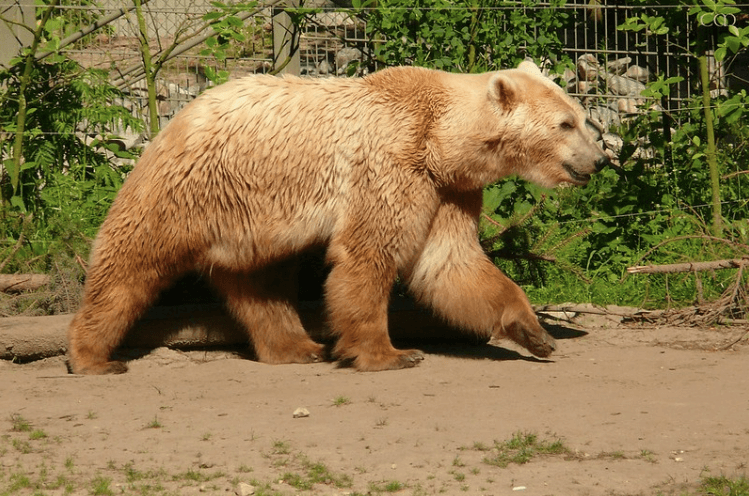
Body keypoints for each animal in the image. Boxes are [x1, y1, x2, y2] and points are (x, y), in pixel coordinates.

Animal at [68, 60, 608, 374]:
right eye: (566, 123)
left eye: (583, 118)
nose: (600, 161)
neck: (441, 139)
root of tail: (178, 116)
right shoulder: (391, 164)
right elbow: (369, 253)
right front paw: (390, 353)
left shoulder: (449, 189)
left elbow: (450, 263)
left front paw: (536, 333)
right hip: (191, 188)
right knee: (131, 258)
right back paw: (92, 356)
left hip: (254, 219)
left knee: (259, 282)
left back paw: (297, 346)